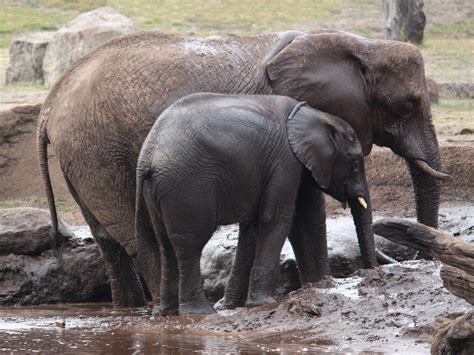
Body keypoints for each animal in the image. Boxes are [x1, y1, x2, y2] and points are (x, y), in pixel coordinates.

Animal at [136, 93, 370, 316]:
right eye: (355, 164)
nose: (366, 272)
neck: (317, 114)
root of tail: (147, 157)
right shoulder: (285, 162)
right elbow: (277, 218)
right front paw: (264, 303)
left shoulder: (297, 165)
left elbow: (299, 219)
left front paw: (320, 286)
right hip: (187, 187)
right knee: (190, 246)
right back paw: (200, 312)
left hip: (158, 190)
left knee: (165, 244)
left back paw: (168, 313)